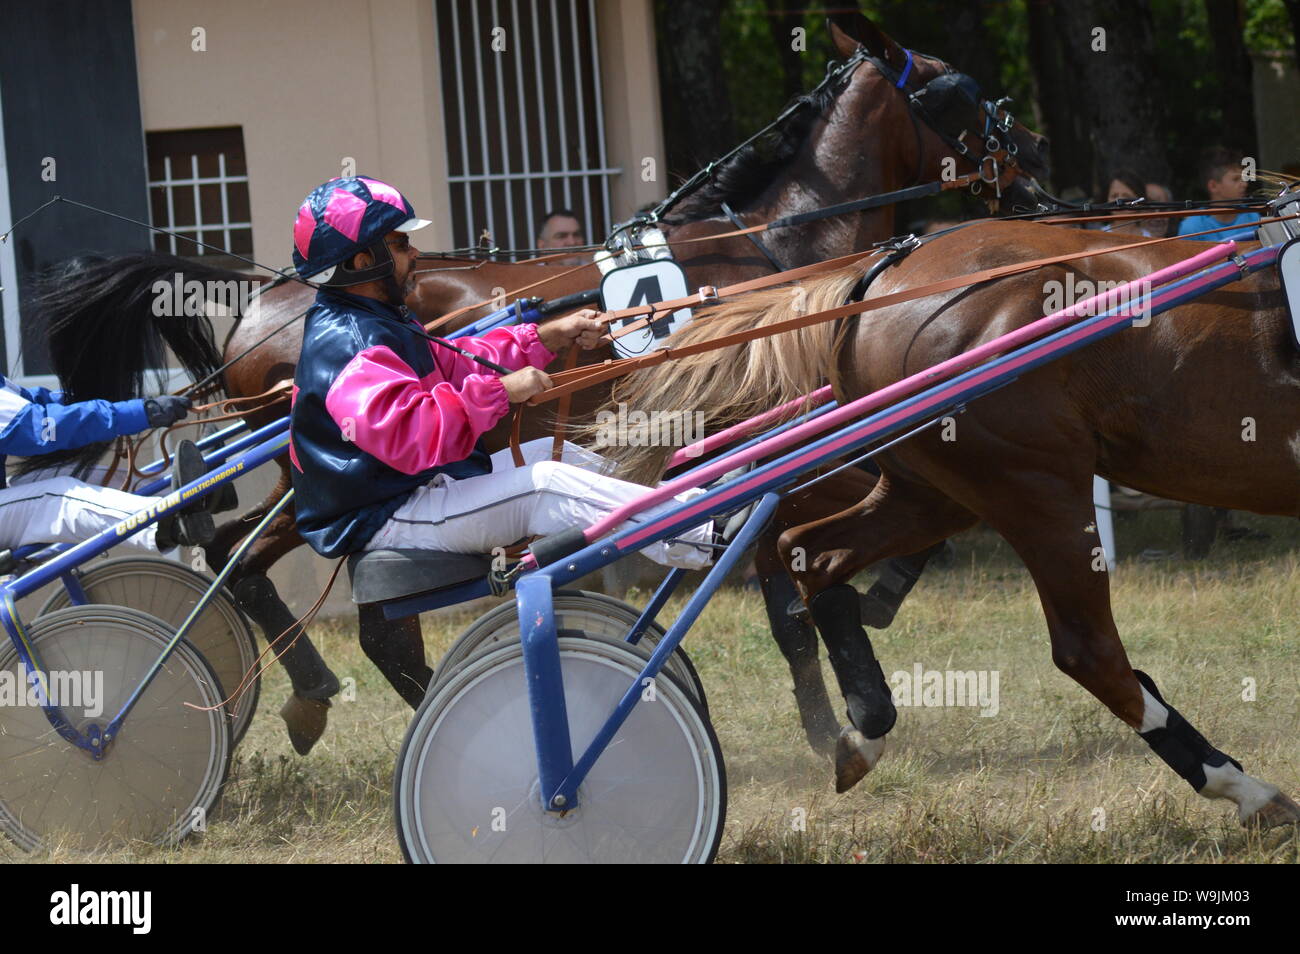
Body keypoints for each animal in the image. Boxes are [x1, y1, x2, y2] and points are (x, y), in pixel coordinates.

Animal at [203, 12, 1050, 754]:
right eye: (962, 87)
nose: (1035, 156)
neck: (782, 250)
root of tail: (263, 307)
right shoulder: (787, 439)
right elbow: (813, 565)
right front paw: (860, 674)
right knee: (360, 614)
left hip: (296, 486)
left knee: (238, 556)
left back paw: (317, 694)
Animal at [609, 217, 1300, 828]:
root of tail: (878, 280)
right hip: (1035, 487)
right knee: (1088, 651)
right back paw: (1242, 788)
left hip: (934, 492)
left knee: (812, 552)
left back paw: (866, 724)